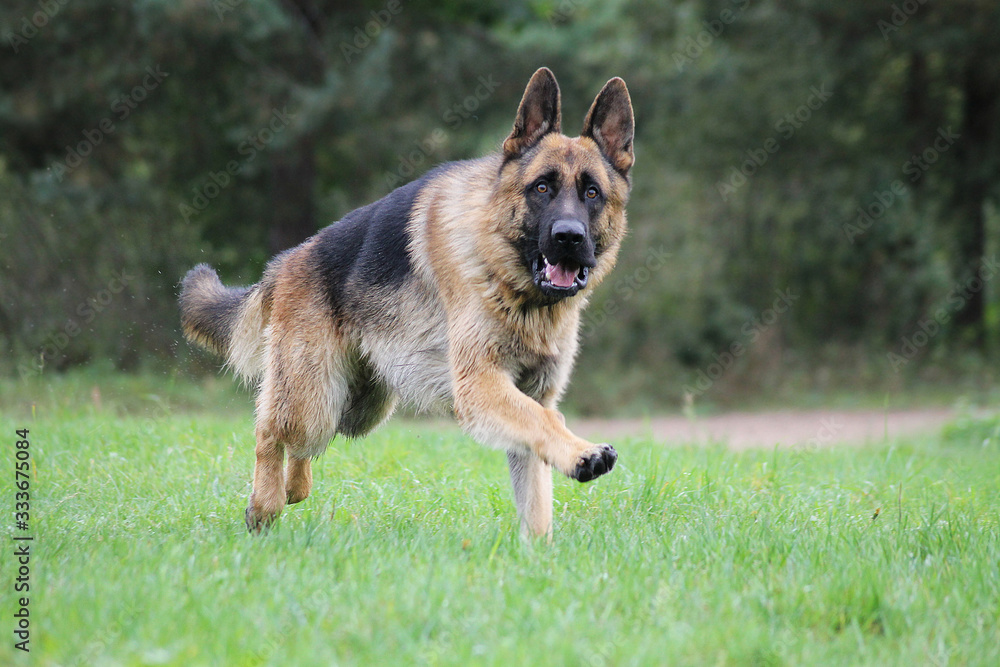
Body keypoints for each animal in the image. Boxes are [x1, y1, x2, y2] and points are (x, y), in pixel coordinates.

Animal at [180, 68, 632, 536]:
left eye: (592, 193)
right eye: (542, 187)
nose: (569, 237)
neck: (517, 287)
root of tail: (285, 262)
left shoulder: (531, 395)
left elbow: (537, 483)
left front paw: (538, 547)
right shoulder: (480, 384)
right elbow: (546, 421)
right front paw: (584, 454)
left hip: (357, 408)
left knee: (302, 447)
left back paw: (293, 488)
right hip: (315, 400)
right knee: (270, 432)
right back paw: (264, 505)